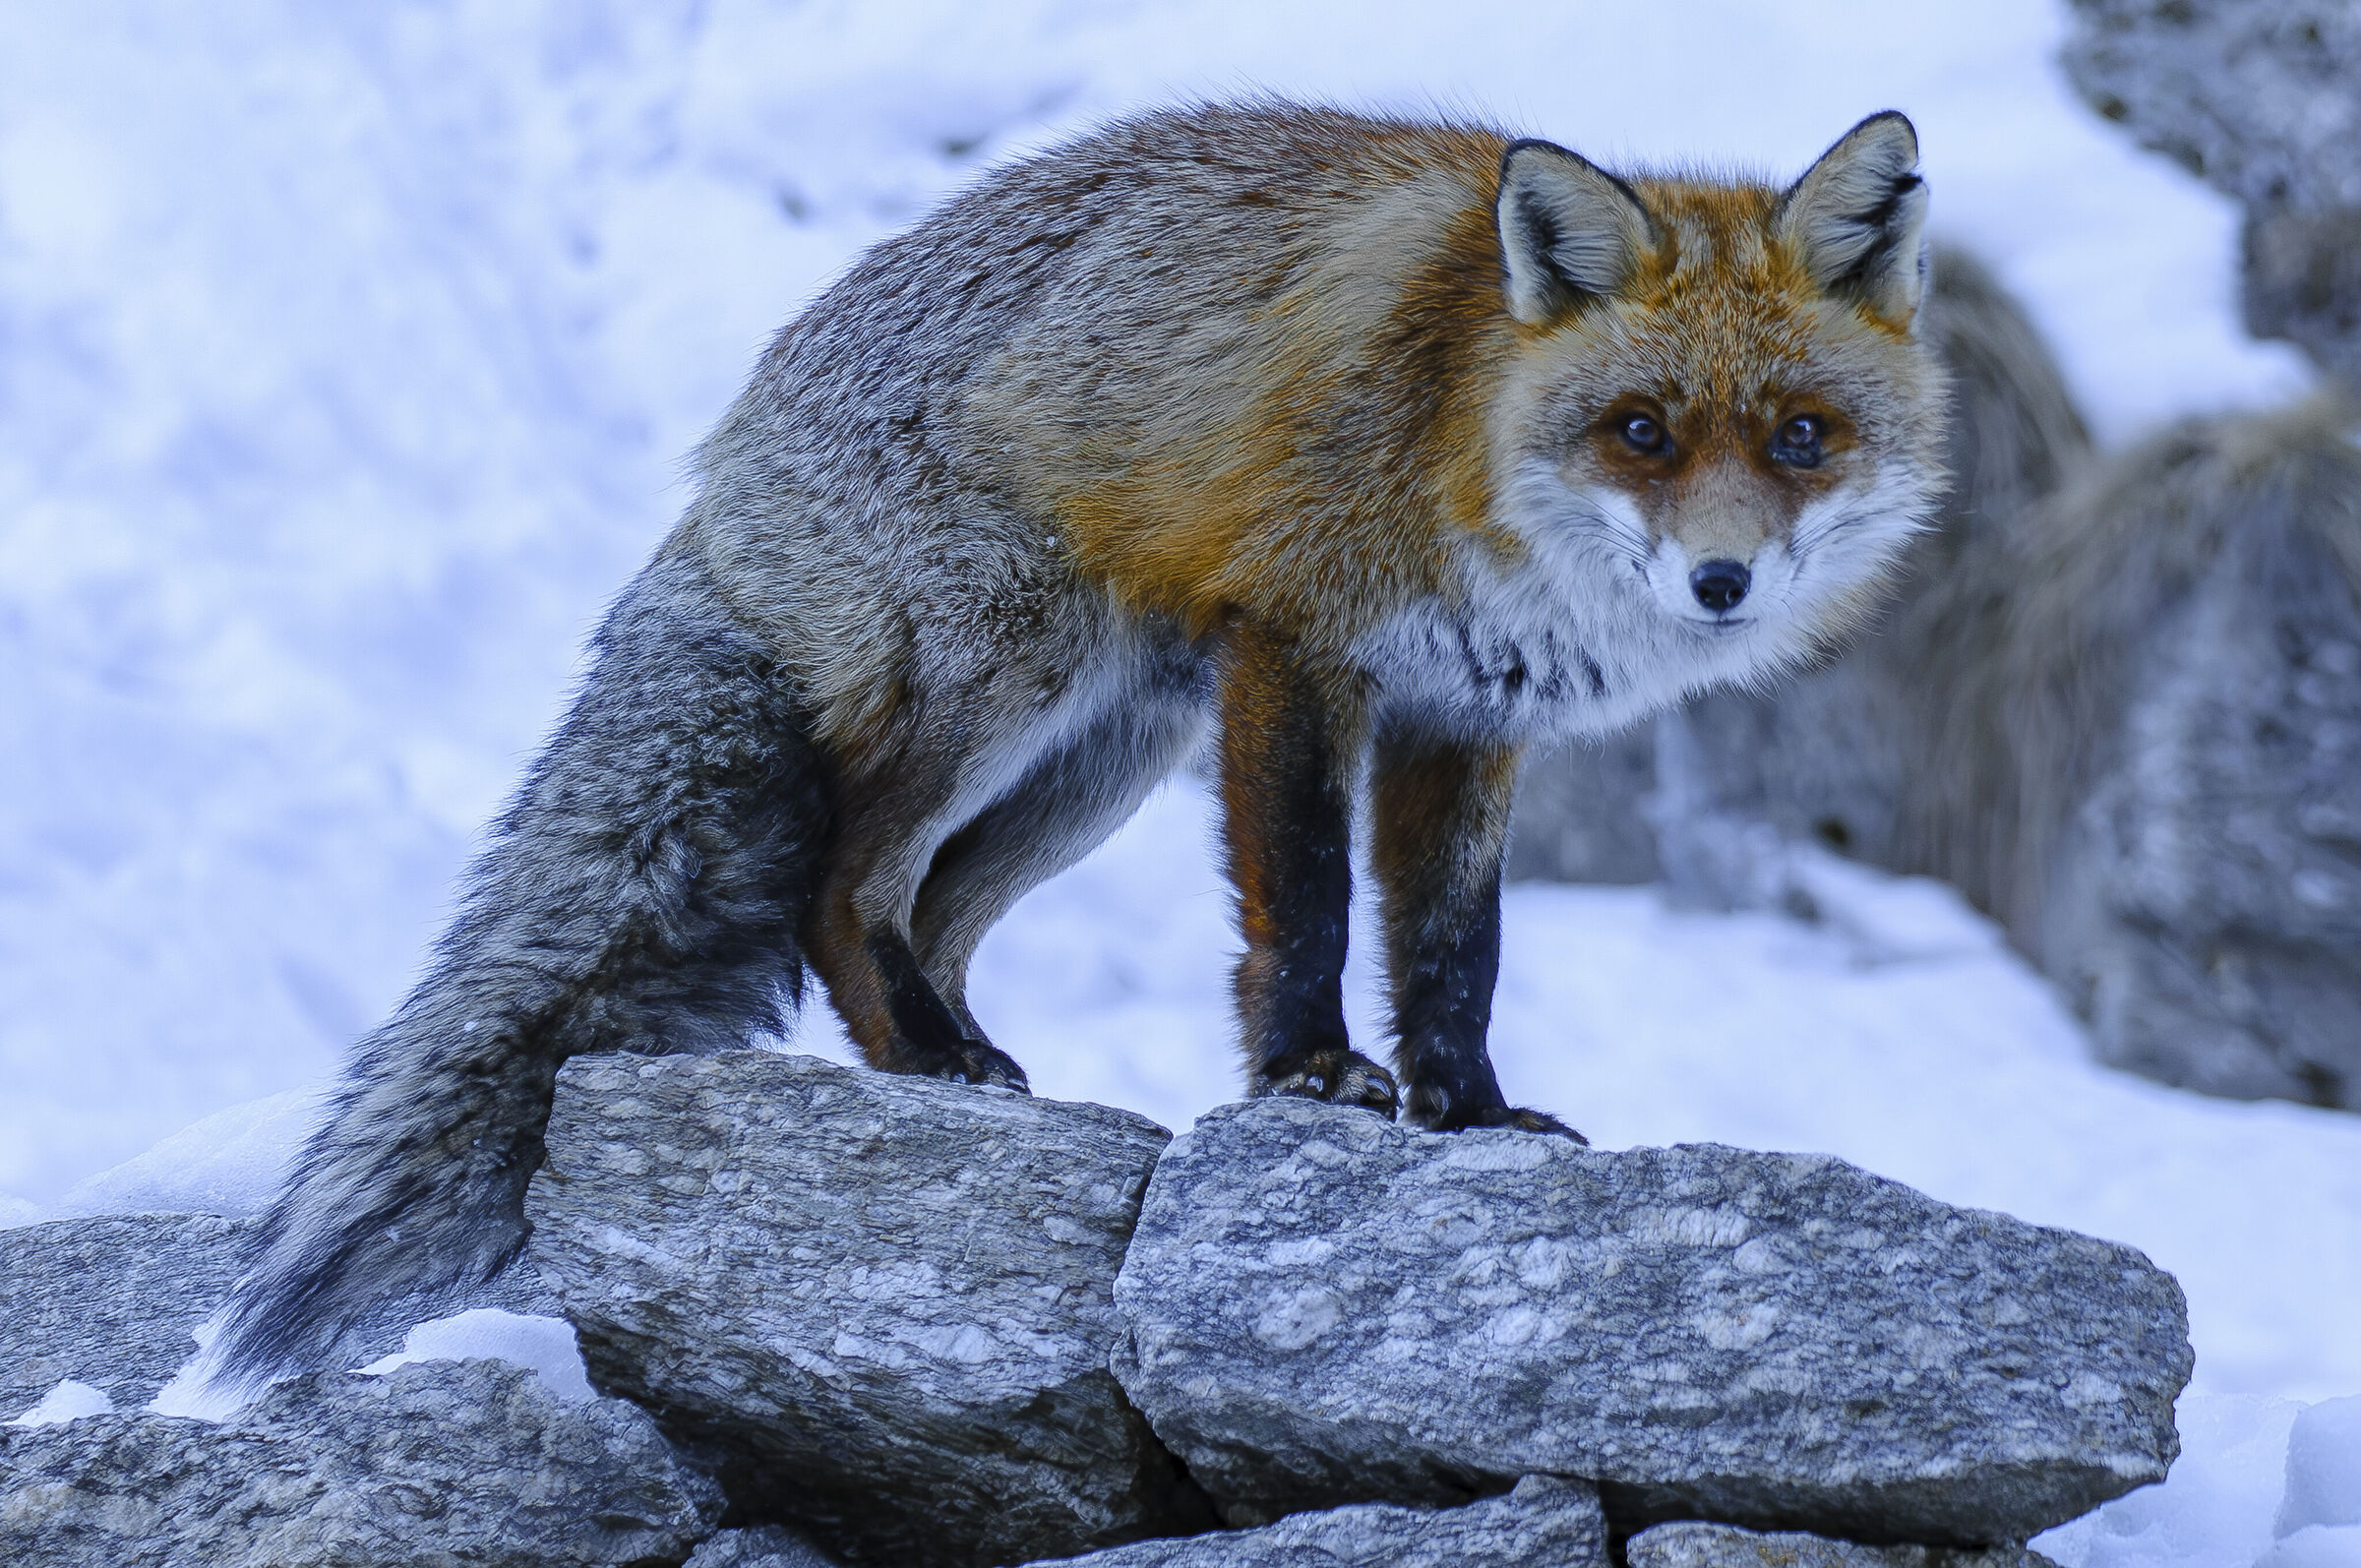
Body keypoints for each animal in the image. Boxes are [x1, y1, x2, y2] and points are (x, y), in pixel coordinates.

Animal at [199, 100, 1945, 1392]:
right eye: (1642, 432)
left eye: (1801, 436)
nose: (1722, 583)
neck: (1462, 428)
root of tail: (728, 445)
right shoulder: (1294, 643)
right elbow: (1309, 905)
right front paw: (1312, 1079)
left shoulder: (1467, 714)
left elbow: (1456, 947)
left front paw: (1470, 1114)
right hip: (1012, 680)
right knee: (844, 881)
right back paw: (933, 1068)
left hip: (1103, 758)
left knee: (931, 911)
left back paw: (964, 1077)